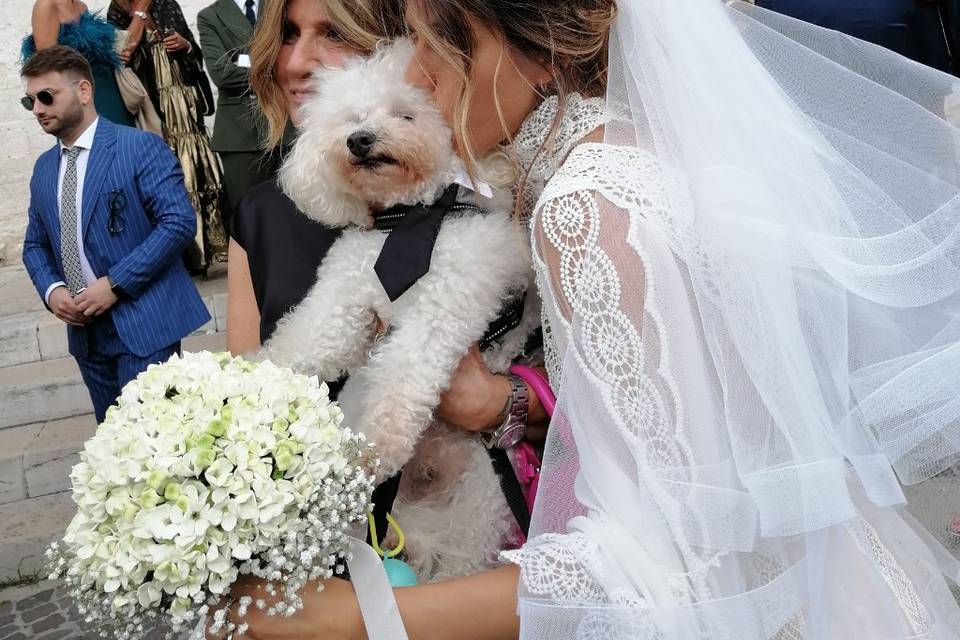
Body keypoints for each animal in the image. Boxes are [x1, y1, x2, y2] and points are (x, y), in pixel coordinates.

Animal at [262, 41, 540, 580]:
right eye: (351, 118)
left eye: (405, 114)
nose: (360, 140)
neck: (409, 219)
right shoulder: (343, 297)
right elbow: (307, 340)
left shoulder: (444, 306)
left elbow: (404, 375)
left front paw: (384, 440)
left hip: (481, 496)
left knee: (462, 556)